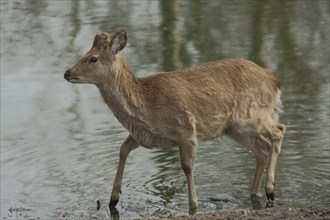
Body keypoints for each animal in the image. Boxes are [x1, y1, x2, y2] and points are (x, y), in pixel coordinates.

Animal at [63, 28, 284, 212]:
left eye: (93, 58)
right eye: (85, 53)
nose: (67, 72)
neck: (146, 107)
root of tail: (274, 81)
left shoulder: (186, 130)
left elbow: (187, 166)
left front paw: (193, 204)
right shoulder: (143, 135)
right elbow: (122, 149)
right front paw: (113, 198)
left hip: (250, 115)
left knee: (279, 130)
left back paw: (270, 190)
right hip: (234, 128)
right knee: (262, 148)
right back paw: (255, 192)